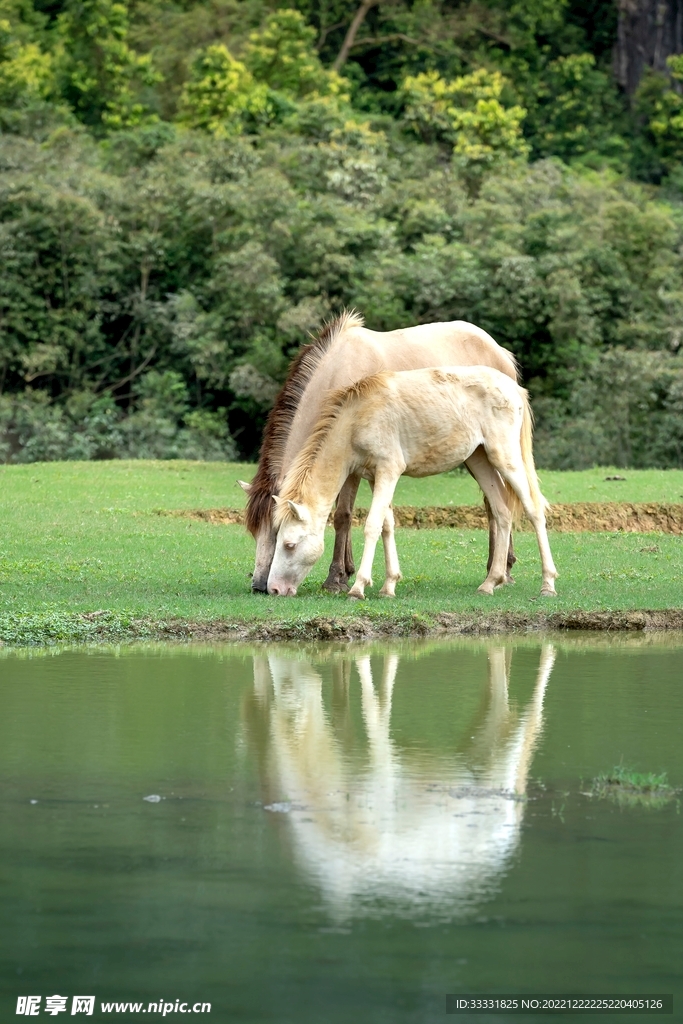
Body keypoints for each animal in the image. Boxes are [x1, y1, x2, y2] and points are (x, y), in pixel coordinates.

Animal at [239, 311, 519, 593]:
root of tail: (500, 352)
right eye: (254, 532)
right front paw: (350, 572)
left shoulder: (350, 466)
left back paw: (501, 570)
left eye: (279, 532)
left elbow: (342, 515)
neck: (336, 370)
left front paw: (336, 578)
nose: (260, 585)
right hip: (475, 455)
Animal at [267, 365, 558, 599]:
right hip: (480, 460)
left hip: (505, 458)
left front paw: (358, 588)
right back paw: (490, 583)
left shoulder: (388, 471)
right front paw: (389, 586)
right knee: (502, 512)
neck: (357, 417)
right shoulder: (374, 477)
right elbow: (387, 526)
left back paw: (548, 584)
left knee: (533, 510)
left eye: (289, 545)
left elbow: (372, 525)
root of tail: (513, 387)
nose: (274, 589)